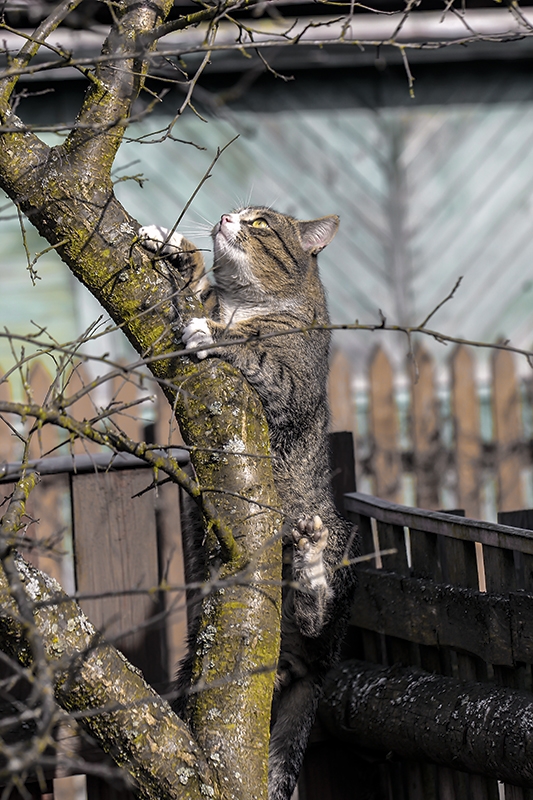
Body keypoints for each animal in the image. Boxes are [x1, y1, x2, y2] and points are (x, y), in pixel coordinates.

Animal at [140, 208, 358, 800]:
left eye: (260, 223)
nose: (225, 216)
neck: (247, 303)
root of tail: (306, 669)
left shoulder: (288, 382)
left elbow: (251, 350)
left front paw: (212, 333)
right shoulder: (211, 300)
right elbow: (195, 291)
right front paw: (175, 248)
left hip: (335, 542)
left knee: (316, 615)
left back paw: (310, 565)